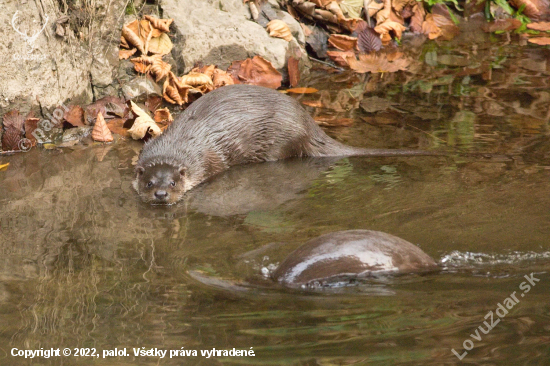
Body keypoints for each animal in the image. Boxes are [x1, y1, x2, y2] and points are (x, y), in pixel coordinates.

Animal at [136, 84, 434, 204]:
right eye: (149, 183)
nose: (161, 194)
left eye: (173, 182)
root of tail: (308, 124)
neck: (178, 145)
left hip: (280, 142)